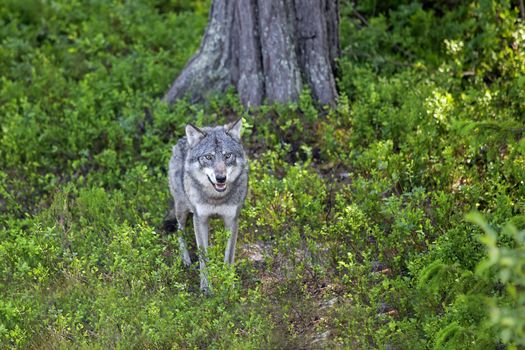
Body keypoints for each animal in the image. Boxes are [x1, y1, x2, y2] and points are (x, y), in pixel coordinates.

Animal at [168, 119, 250, 294]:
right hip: (182, 209)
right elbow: (203, 257)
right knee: (180, 231)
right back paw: (185, 260)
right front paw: (206, 288)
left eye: (227, 156)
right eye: (208, 157)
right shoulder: (199, 219)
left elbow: (229, 256)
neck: (216, 198)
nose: (221, 178)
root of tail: (183, 140)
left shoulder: (232, 220)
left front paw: (229, 286)